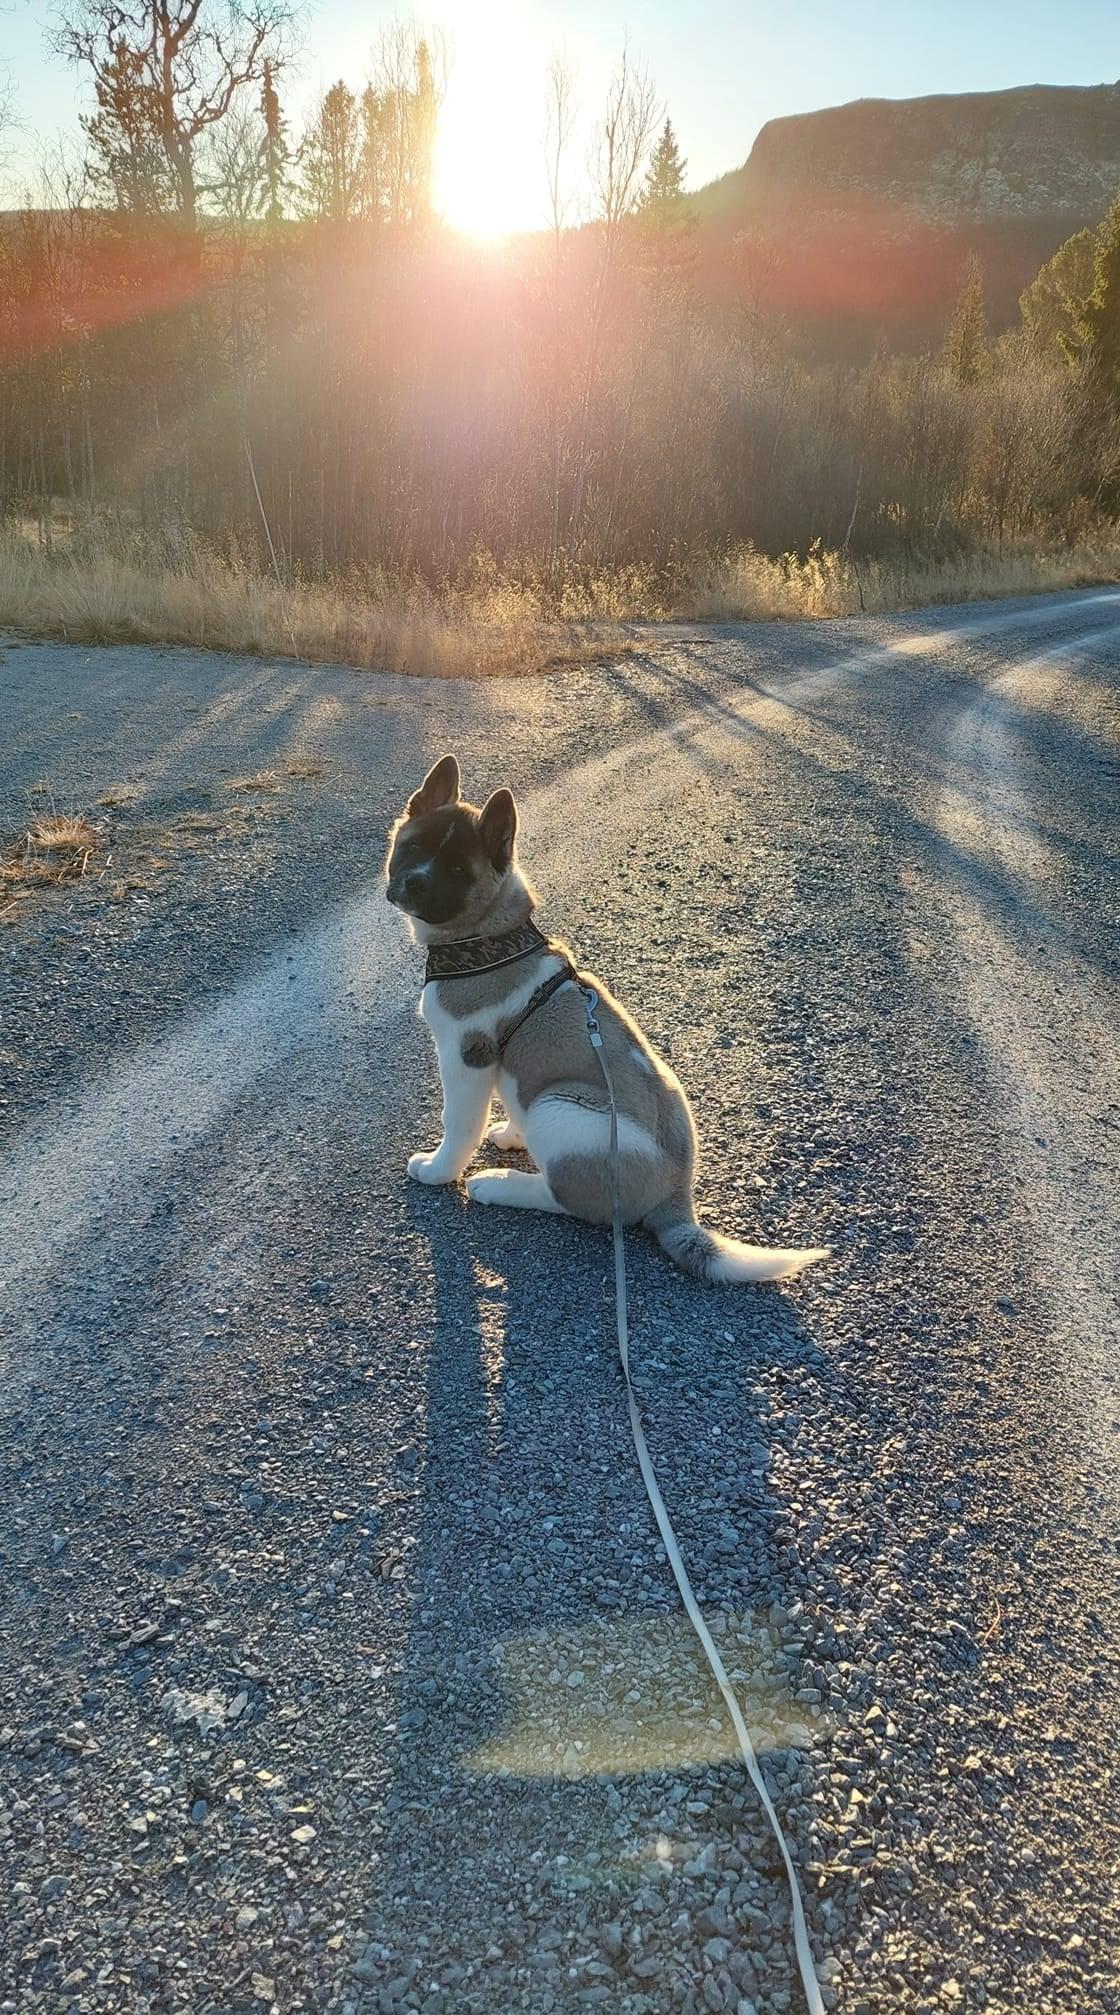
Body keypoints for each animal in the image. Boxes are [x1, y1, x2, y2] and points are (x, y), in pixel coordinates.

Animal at [384, 754, 828, 1283]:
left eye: (456, 869)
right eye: (413, 846)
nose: (414, 883)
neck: (489, 937)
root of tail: (677, 1199)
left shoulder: (465, 1056)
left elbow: (458, 1123)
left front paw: (438, 1171)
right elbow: (506, 1099)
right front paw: (510, 1134)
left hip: (559, 1108)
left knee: (569, 1200)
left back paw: (497, 1184)